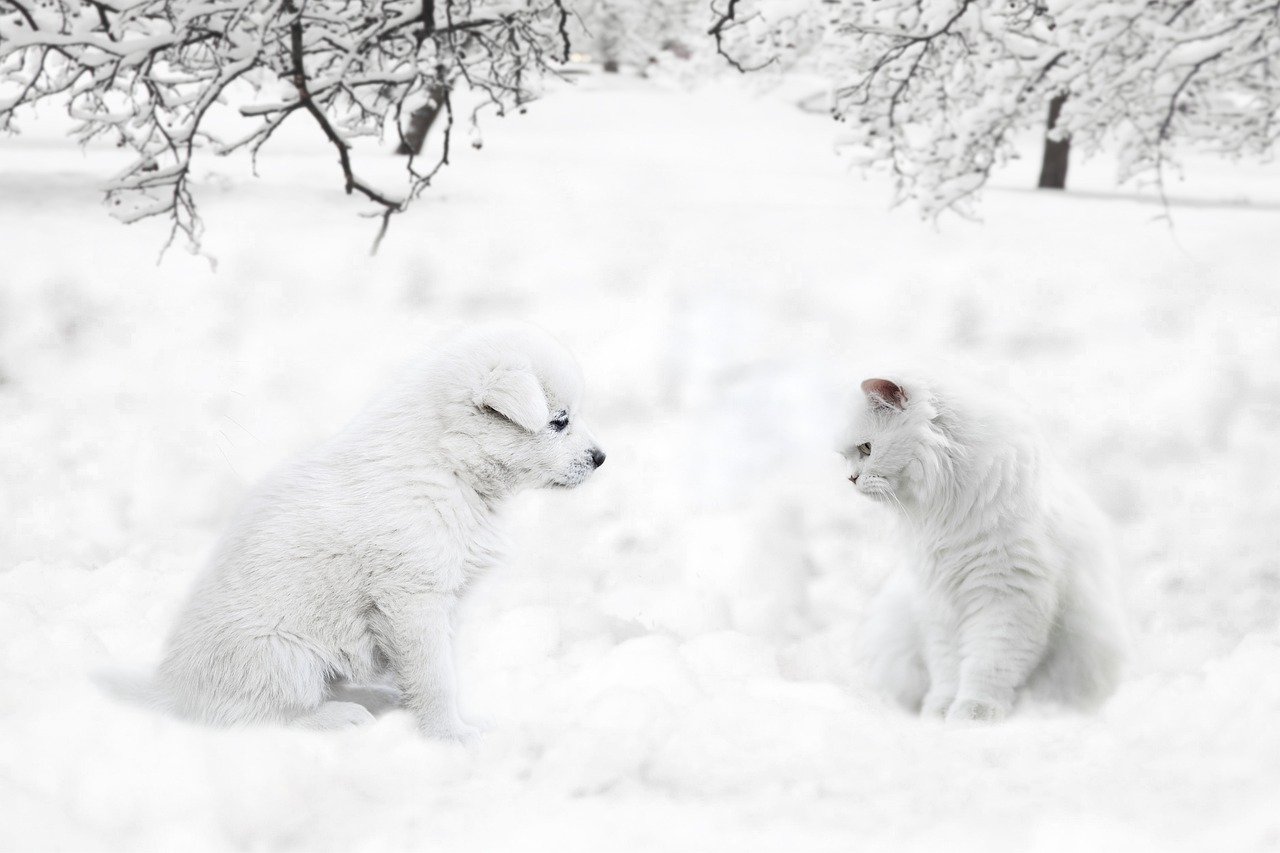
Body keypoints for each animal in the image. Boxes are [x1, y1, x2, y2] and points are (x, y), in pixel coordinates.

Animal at [151, 322, 604, 732]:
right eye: (559, 421)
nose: (601, 458)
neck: (449, 465)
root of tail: (169, 693)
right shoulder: (413, 596)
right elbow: (435, 675)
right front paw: (450, 735)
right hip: (281, 657)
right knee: (257, 716)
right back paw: (340, 717)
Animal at [844, 373, 1126, 717]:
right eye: (847, 455)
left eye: (866, 448)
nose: (850, 478)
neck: (946, 509)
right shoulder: (938, 601)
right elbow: (948, 668)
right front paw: (939, 712)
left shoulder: (1007, 595)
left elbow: (987, 665)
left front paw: (973, 713)